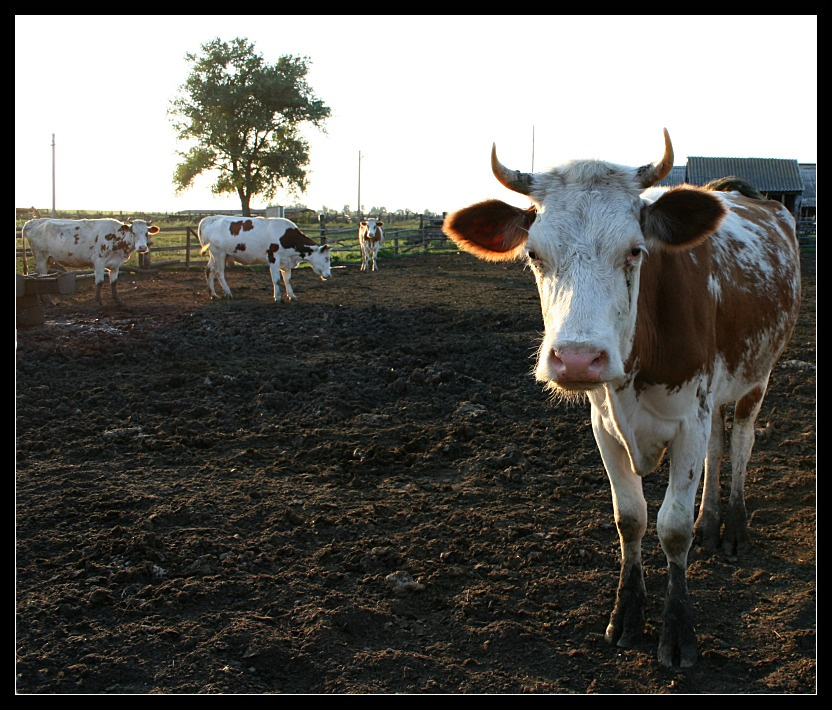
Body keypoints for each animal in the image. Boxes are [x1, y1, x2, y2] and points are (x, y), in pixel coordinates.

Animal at [21, 218, 160, 306]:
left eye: (146, 233)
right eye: (133, 232)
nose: (142, 248)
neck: (116, 237)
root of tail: (32, 222)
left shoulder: (116, 264)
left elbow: (113, 283)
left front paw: (118, 301)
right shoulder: (99, 261)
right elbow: (100, 282)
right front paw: (98, 301)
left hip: (47, 259)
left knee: (40, 276)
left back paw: (42, 300)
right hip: (41, 256)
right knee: (42, 276)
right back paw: (48, 301)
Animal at [197, 215, 332, 302]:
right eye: (326, 258)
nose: (329, 275)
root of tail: (208, 219)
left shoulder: (286, 262)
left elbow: (287, 279)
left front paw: (292, 296)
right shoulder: (273, 258)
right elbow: (276, 279)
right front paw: (278, 297)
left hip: (214, 255)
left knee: (209, 271)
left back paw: (213, 295)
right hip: (219, 254)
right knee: (219, 273)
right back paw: (228, 293)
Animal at [442, 129, 801, 668]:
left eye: (635, 250)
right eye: (534, 255)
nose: (575, 359)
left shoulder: (687, 421)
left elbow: (672, 527)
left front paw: (677, 631)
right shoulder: (605, 425)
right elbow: (629, 518)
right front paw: (627, 613)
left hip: (756, 376)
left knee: (740, 444)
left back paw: (733, 527)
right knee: (718, 448)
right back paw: (711, 521)